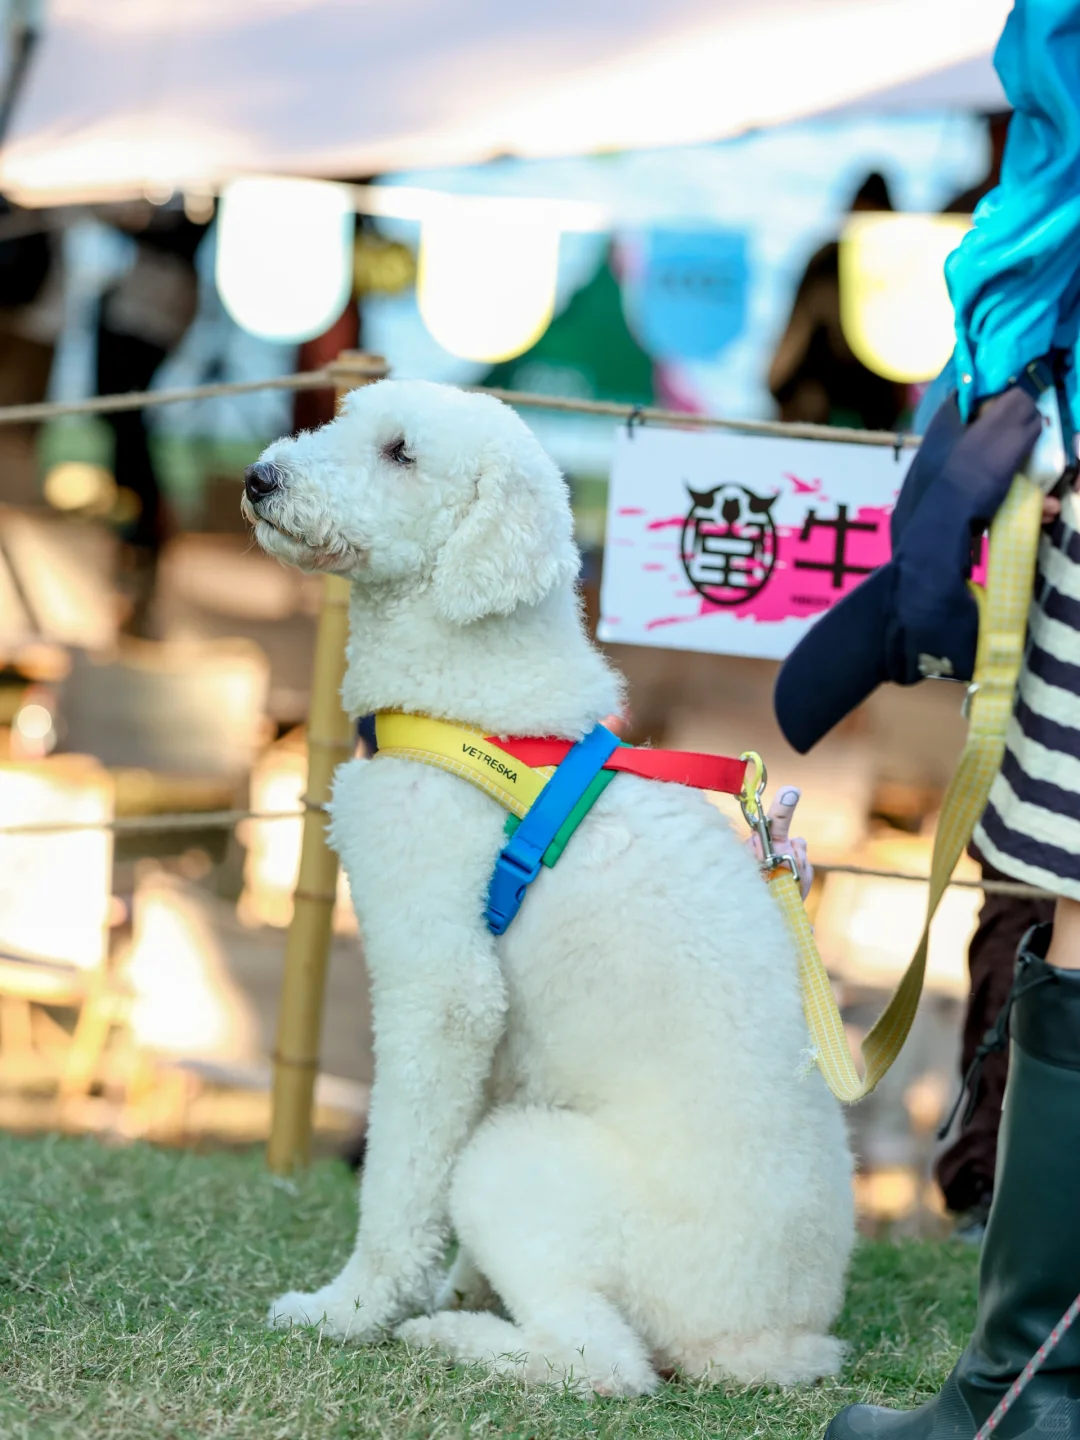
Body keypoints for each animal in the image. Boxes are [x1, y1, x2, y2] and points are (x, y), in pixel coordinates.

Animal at [243, 380, 852, 1393]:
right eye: (342, 418)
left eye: (401, 453)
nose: (259, 478)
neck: (473, 708)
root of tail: (770, 1341)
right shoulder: (497, 1040)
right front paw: (454, 1282)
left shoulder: (441, 991)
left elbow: (402, 1181)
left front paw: (351, 1310)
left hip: (523, 1167)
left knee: (604, 1361)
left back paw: (453, 1338)